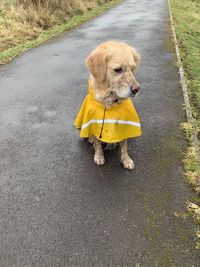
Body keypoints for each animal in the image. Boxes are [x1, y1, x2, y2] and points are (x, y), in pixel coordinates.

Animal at [74, 40, 141, 171]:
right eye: (118, 69)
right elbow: (97, 143)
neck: (110, 102)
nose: (137, 89)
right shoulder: (93, 122)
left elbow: (124, 145)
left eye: (132, 68)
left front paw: (126, 159)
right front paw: (99, 156)